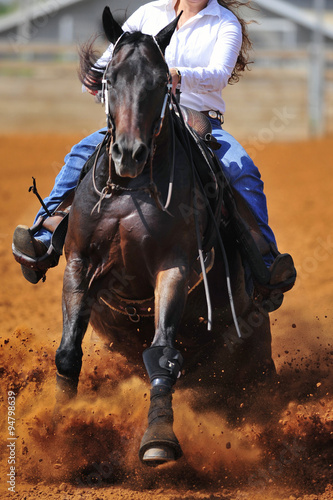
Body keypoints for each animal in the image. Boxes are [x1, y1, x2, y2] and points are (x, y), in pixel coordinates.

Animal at [55, 7, 274, 466]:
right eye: (109, 77)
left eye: (159, 81)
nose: (128, 153)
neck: (132, 189)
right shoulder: (79, 263)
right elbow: (67, 353)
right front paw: (55, 427)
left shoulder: (174, 266)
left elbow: (161, 354)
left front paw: (158, 437)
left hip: (257, 352)